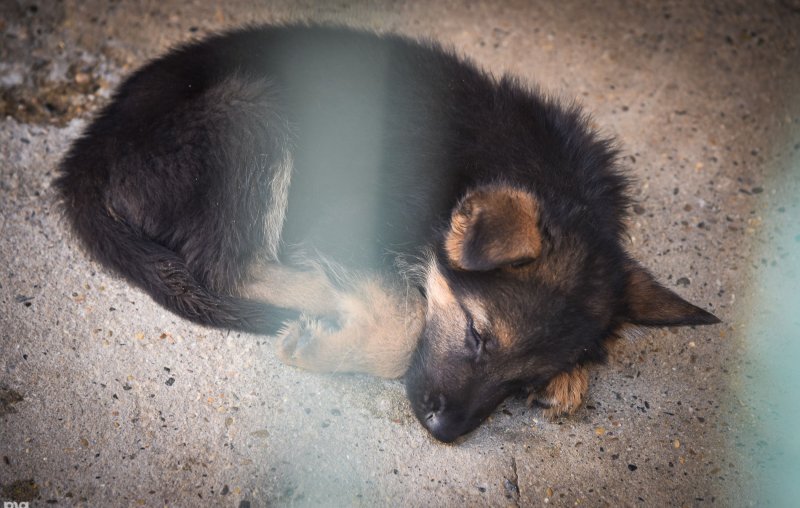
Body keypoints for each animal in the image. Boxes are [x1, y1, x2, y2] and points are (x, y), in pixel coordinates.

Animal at [56, 23, 720, 442]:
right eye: (478, 335)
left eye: (520, 383)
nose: (444, 434)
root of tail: (93, 147)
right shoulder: (342, 221)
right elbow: (408, 321)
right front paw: (333, 340)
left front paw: (571, 377)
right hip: (253, 112)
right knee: (230, 267)